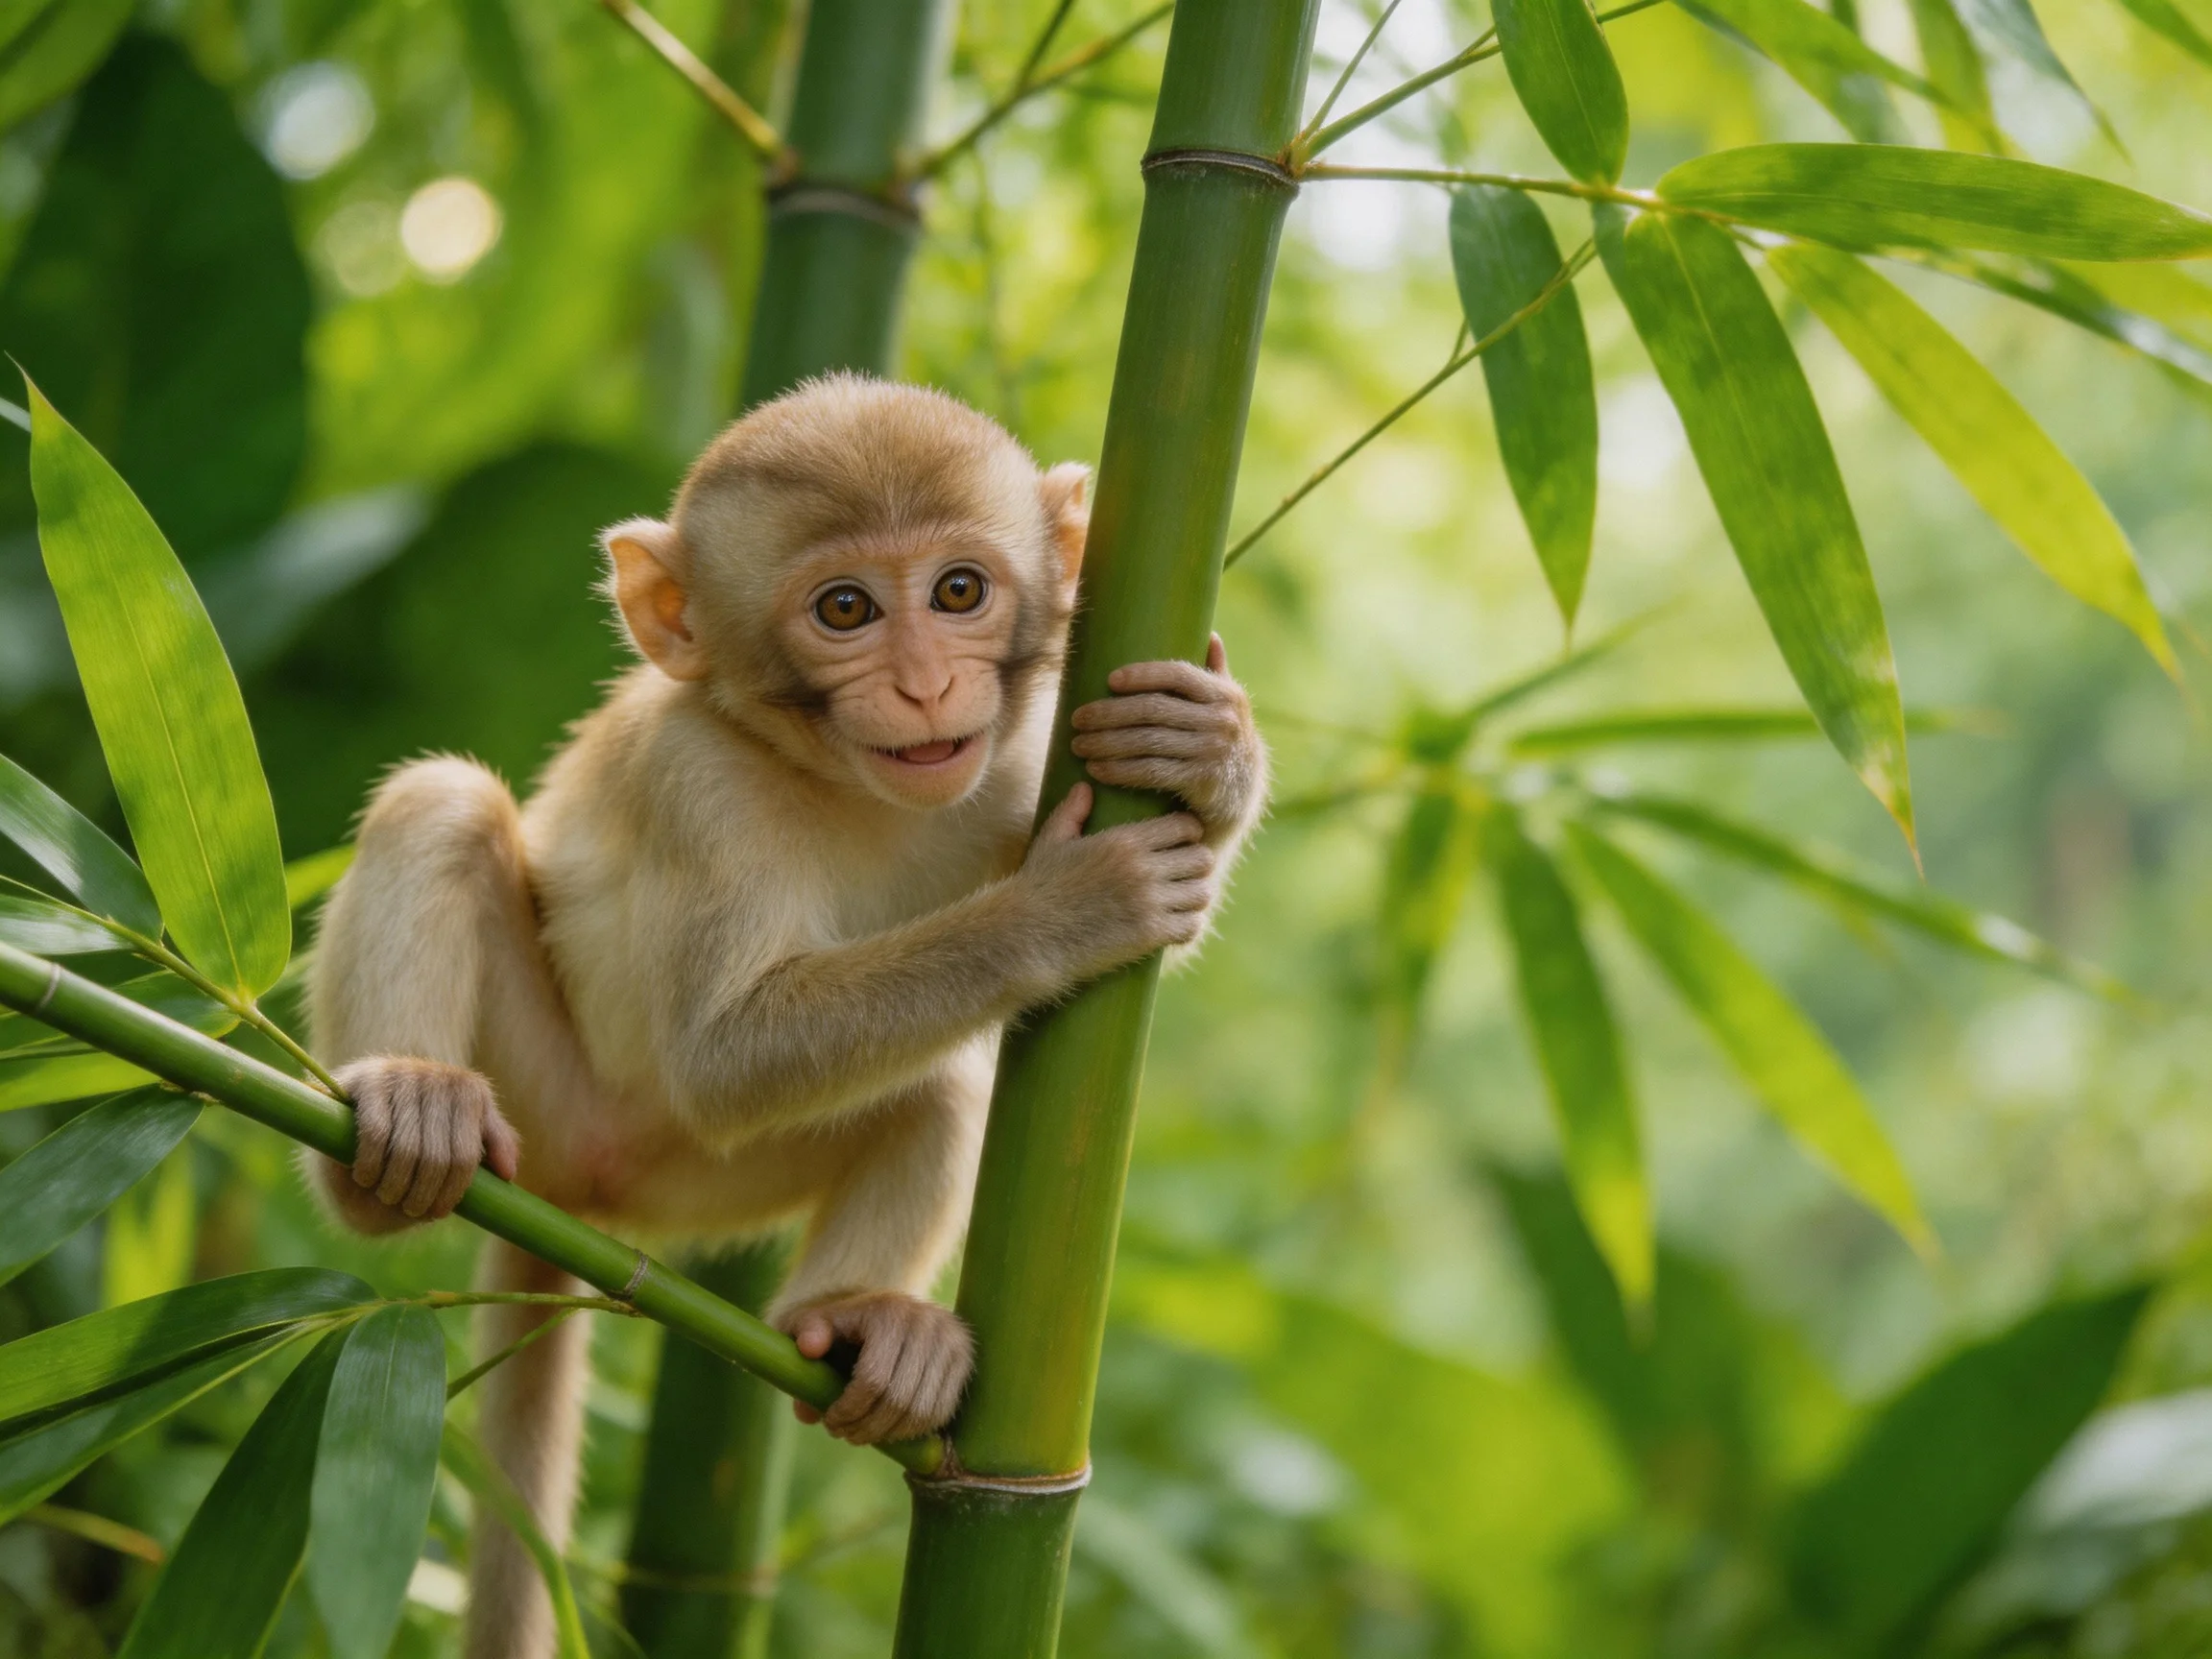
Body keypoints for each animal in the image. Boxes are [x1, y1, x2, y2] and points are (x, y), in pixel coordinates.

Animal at [303, 373, 1268, 1659]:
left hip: (707, 1190)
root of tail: (579, 1198)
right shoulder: (697, 785)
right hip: (552, 1100)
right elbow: (726, 1056)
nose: (923, 684)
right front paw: (1069, 907)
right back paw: (401, 1117)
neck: (838, 779)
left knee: (941, 1083)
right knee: (443, 802)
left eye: (958, 591)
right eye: (845, 609)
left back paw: (857, 1330)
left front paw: (1210, 746)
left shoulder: (1028, 756)